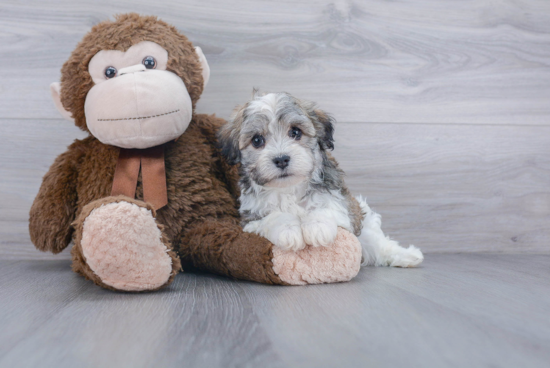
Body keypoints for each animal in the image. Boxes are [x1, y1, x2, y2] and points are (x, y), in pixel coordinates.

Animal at [218, 90, 424, 266]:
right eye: (257, 140)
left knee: (379, 244)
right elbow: (273, 217)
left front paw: (317, 227)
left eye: (295, 132)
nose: (281, 159)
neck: (290, 188)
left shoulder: (342, 202)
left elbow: (326, 207)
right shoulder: (251, 219)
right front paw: (288, 230)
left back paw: (408, 255)